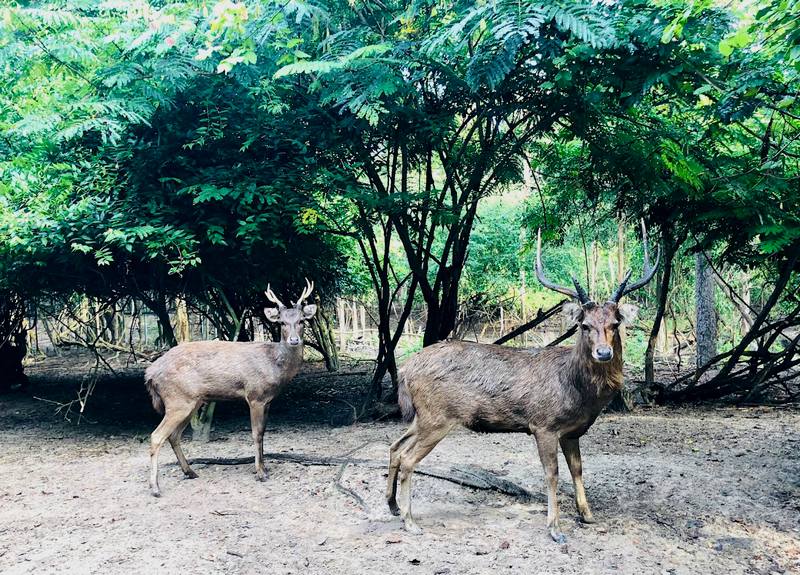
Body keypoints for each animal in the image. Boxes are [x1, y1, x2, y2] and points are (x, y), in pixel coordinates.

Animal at [145, 280, 318, 496]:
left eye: (302, 320)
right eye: (282, 323)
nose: (294, 340)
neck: (274, 366)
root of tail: (150, 373)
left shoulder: (268, 400)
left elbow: (264, 432)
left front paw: (264, 467)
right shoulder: (255, 396)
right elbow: (256, 433)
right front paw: (260, 473)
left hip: (191, 401)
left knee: (174, 436)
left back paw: (190, 472)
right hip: (178, 400)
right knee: (156, 436)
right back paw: (155, 487)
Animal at [386, 225, 656, 544]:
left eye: (615, 324)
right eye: (584, 325)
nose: (603, 353)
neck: (578, 393)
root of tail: (405, 370)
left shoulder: (572, 432)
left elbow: (578, 469)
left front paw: (587, 515)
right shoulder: (544, 424)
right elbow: (552, 473)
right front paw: (555, 528)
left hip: (422, 415)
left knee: (395, 446)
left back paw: (391, 505)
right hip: (437, 416)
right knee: (407, 458)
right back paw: (409, 520)